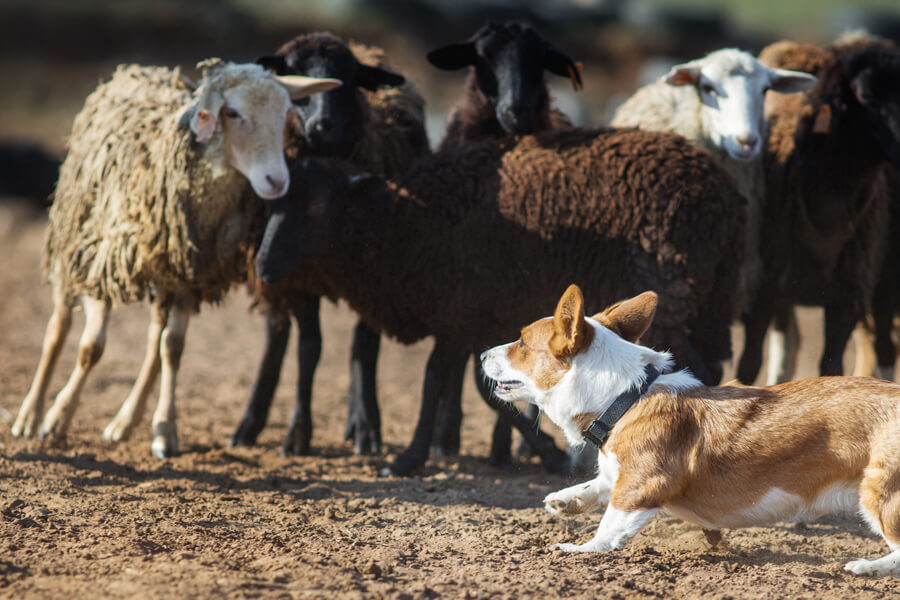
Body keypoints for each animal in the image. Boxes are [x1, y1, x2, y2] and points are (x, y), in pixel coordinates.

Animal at [9, 59, 342, 460]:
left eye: (285, 115)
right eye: (232, 113)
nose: (276, 181)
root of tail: (135, 69)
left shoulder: (187, 275)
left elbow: (173, 350)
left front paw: (165, 430)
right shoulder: (105, 262)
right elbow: (92, 347)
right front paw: (57, 418)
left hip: (163, 272)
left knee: (156, 339)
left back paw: (125, 421)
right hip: (73, 239)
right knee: (57, 328)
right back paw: (30, 415)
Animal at [230, 31, 430, 454]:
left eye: (349, 79)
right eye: (295, 75)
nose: (323, 124)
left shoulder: (378, 272)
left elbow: (363, 347)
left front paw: (367, 428)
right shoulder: (298, 281)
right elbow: (309, 348)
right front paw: (297, 434)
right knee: (276, 335)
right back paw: (249, 424)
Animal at [255, 127, 744, 478]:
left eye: (317, 208)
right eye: (272, 203)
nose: (261, 266)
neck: (406, 223)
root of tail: (722, 191)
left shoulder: (458, 311)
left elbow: (434, 382)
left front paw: (408, 458)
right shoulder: (474, 317)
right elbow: (483, 386)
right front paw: (547, 453)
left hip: (673, 288)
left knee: (699, 369)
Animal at [482, 284, 896, 576]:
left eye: (521, 342)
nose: (483, 354)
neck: (627, 397)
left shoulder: (643, 486)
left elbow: (610, 526)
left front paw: (579, 549)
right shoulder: (621, 473)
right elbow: (599, 485)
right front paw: (566, 500)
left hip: (879, 494)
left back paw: (868, 567)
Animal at [736, 38, 900, 384]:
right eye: (865, 96)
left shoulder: (848, 297)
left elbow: (832, 368)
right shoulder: (762, 293)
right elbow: (749, 365)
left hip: (885, 277)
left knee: (883, 348)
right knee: (786, 344)